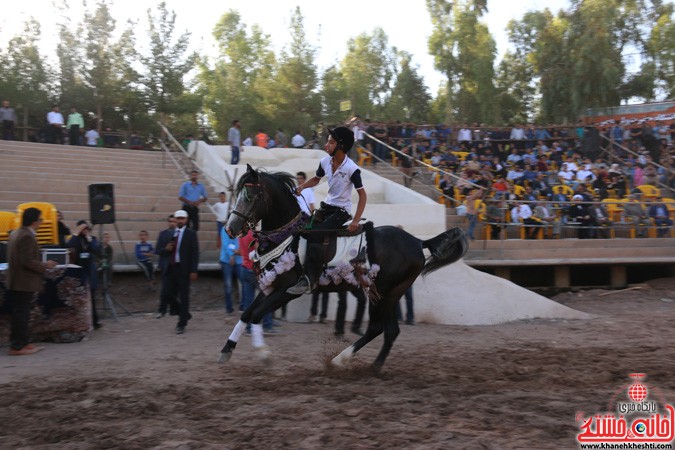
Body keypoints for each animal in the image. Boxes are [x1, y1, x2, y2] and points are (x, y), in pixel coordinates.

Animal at [219, 165, 468, 370]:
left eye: (250, 196)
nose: (231, 228)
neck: (288, 236)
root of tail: (418, 242)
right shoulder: (271, 285)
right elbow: (246, 314)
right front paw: (226, 350)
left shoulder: (286, 291)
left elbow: (256, 316)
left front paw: (264, 354)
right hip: (384, 294)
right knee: (386, 330)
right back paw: (361, 363)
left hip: (385, 293)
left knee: (380, 329)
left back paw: (349, 362)